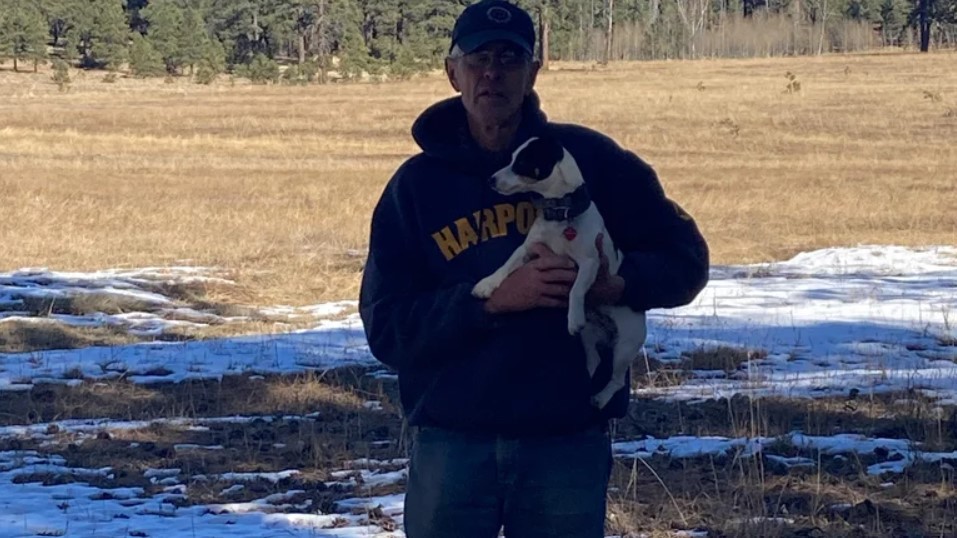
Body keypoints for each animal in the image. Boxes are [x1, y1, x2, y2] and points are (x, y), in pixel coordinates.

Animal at [468, 135, 648, 406]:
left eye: (522, 162)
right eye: (511, 158)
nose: (491, 179)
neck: (561, 215)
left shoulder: (590, 263)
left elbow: (575, 290)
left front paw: (572, 317)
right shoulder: (529, 248)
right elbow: (507, 264)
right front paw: (487, 285)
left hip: (625, 346)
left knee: (616, 379)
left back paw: (599, 398)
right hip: (589, 337)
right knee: (594, 361)